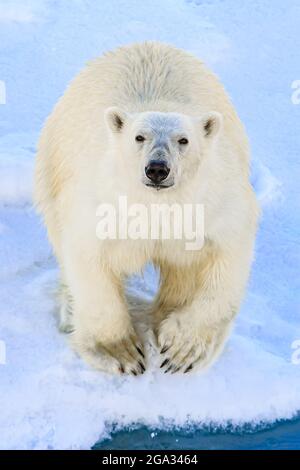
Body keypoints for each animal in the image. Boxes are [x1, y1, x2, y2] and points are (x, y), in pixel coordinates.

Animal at [34, 42, 258, 376]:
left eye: (183, 140)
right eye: (139, 137)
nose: (157, 168)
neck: (156, 205)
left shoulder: (212, 201)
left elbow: (223, 257)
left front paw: (181, 350)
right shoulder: (102, 200)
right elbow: (88, 256)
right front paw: (120, 352)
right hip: (52, 165)